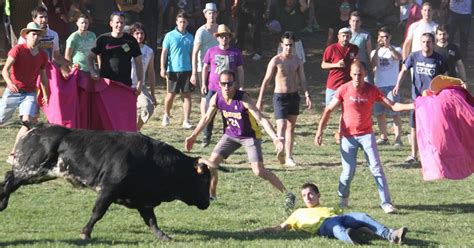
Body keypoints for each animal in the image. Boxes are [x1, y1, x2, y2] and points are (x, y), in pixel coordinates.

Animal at [0, 126, 211, 240]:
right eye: (203, 181)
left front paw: (163, 236)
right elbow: (98, 212)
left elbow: (151, 220)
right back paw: (2, 203)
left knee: (9, 179)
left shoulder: (142, 200)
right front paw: (85, 233)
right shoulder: (109, 189)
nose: (208, 202)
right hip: (31, 170)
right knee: (10, 179)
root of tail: (35, 130)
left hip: (40, 173)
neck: (153, 161)